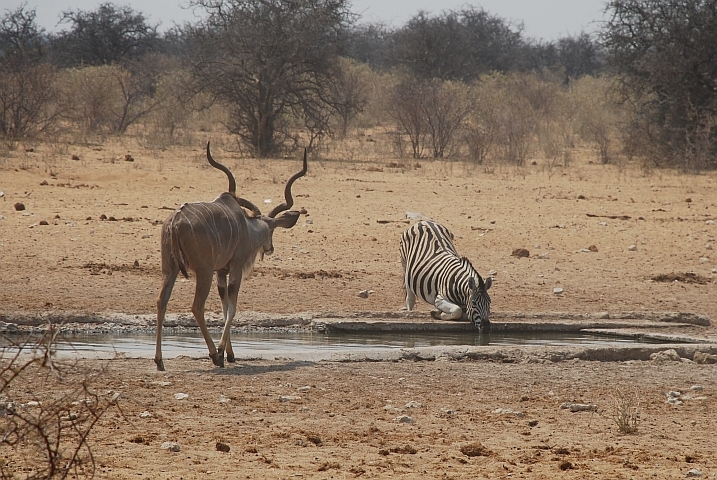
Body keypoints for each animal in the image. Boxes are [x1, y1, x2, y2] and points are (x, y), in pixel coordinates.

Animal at [154, 141, 304, 370]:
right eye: (271, 231)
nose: (270, 248)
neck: (247, 227)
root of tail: (175, 221)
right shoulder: (234, 269)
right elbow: (232, 307)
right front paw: (222, 353)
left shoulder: (220, 273)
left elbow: (225, 307)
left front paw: (230, 354)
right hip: (203, 272)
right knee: (197, 306)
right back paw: (213, 356)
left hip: (169, 270)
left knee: (161, 301)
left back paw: (159, 361)